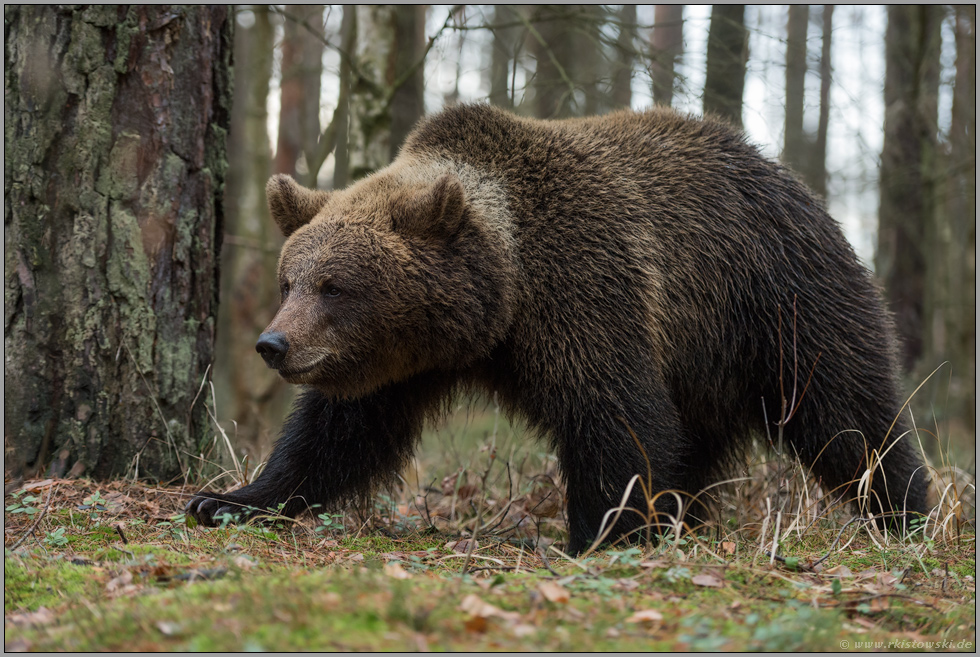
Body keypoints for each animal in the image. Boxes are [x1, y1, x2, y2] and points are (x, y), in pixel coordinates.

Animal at [188, 104, 932, 552]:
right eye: (290, 280)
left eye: (335, 286)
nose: (274, 344)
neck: (503, 293)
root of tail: (793, 179)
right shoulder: (406, 360)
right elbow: (338, 432)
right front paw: (228, 498)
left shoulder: (585, 293)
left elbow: (615, 418)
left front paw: (602, 533)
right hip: (705, 358)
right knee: (703, 441)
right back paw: (685, 516)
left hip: (778, 303)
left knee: (849, 416)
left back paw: (907, 513)